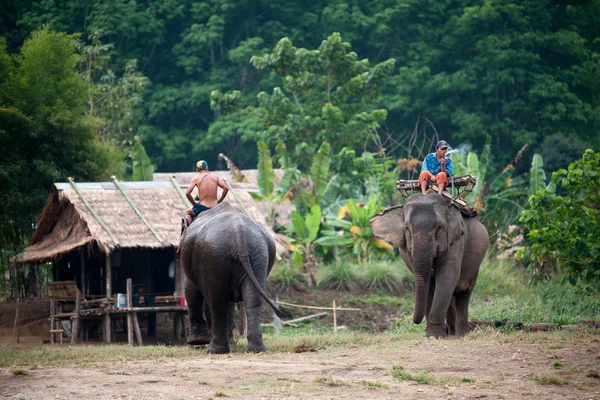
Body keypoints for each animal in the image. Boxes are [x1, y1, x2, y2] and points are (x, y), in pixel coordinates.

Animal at [178, 203, 290, 354]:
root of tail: (239, 234)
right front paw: (231, 340)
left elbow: (191, 289)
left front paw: (197, 341)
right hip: (258, 254)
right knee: (253, 298)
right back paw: (256, 349)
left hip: (213, 255)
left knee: (217, 300)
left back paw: (215, 349)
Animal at [368, 194, 490, 338]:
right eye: (407, 228)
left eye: (439, 228)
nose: (415, 321)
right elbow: (430, 284)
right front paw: (433, 334)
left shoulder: (456, 242)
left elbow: (447, 277)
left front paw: (434, 336)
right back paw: (451, 332)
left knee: (463, 291)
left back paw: (460, 335)